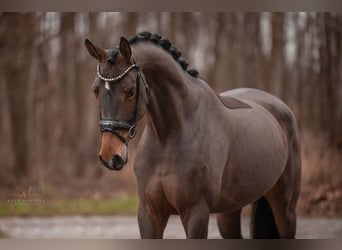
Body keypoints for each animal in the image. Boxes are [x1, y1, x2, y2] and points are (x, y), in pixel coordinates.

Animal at [84, 31, 300, 238]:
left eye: (129, 92)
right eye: (95, 91)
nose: (111, 156)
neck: (168, 138)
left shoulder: (196, 212)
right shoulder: (149, 213)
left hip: (285, 209)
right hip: (230, 211)